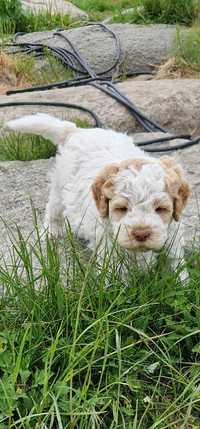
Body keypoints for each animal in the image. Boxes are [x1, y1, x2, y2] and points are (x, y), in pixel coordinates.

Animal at [5, 113, 191, 280]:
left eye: (160, 209)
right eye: (121, 208)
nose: (141, 234)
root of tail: (76, 131)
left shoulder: (173, 233)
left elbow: (175, 261)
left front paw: (182, 283)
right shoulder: (107, 243)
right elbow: (114, 270)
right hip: (59, 185)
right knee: (54, 208)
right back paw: (52, 231)